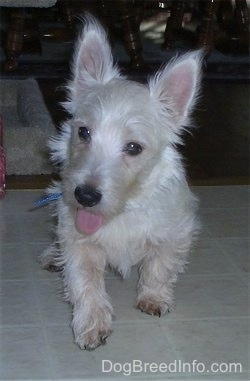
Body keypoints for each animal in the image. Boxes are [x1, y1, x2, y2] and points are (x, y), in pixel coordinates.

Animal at [40, 15, 202, 350]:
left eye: (133, 148)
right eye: (84, 132)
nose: (85, 196)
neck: (121, 210)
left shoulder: (177, 230)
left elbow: (160, 266)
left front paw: (154, 298)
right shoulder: (78, 238)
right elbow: (86, 281)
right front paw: (92, 324)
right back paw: (51, 256)